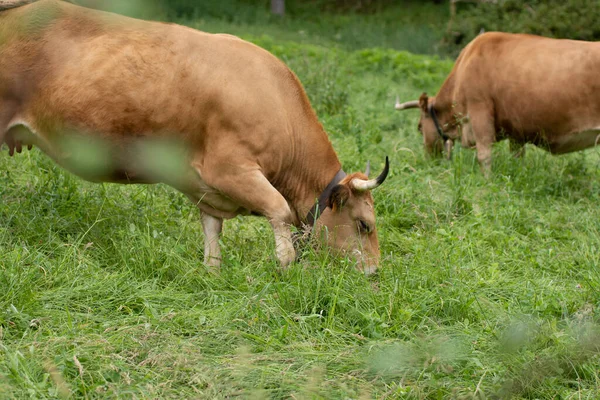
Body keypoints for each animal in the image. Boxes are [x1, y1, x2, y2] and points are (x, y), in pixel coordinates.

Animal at [0, 0, 390, 272]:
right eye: (364, 224)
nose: (373, 273)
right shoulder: (232, 170)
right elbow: (278, 209)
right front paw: (285, 265)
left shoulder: (209, 190)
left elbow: (212, 235)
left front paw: (212, 273)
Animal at [396, 31, 600, 175]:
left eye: (419, 128)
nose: (429, 161)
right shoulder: (516, 130)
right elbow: (517, 158)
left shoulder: (479, 110)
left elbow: (484, 155)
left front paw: (488, 182)